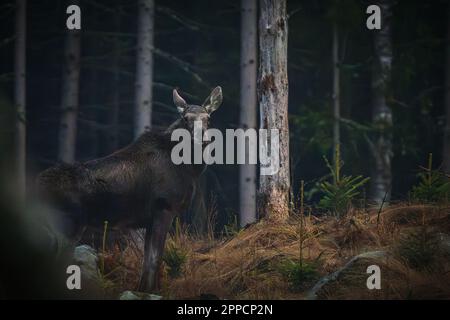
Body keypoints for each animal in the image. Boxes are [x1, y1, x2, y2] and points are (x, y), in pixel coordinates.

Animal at [38, 86, 223, 292]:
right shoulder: (164, 208)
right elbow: (155, 259)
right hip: (66, 224)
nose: (203, 139)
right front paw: (152, 290)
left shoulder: (149, 219)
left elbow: (146, 260)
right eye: (186, 118)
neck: (189, 169)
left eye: (208, 118)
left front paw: (143, 289)